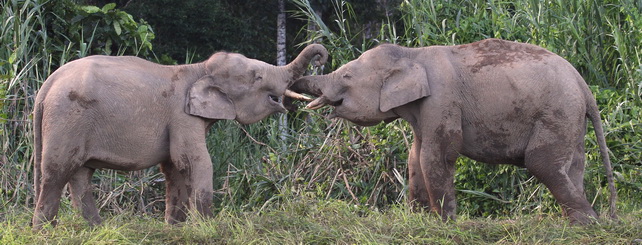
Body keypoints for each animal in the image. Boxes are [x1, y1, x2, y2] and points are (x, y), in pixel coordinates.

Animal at [31, 43, 324, 229]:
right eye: (258, 76)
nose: (321, 56)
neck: (199, 68)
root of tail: (46, 85)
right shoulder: (182, 116)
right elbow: (193, 161)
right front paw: (208, 228)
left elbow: (174, 167)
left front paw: (175, 229)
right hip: (68, 118)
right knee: (58, 171)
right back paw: (44, 232)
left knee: (79, 174)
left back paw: (96, 229)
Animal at [290, 39, 616, 225]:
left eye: (346, 75)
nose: (319, 55)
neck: (412, 54)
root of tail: (582, 83)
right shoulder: (423, 109)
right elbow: (416, 156)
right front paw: (419, 220)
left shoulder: (442, 99)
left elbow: (437, 155)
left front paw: (444, 224)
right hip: (571, 118)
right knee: (572, 165)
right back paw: (579, 222)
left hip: (556, 113)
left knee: (542, 163)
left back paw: (589, 224)